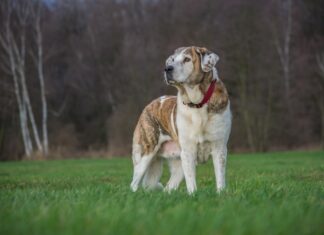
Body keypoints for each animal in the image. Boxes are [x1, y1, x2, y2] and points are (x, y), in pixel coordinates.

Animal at [130, 46, 232, 195]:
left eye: (187, 59)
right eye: (172, 60)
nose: (167, 69)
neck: (197, 104)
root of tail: (150, 104)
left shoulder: (219, 149)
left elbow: (220, 179)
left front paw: (221, 195)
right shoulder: (188, 152)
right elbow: (191, 182)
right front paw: (193, 195)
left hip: (178, 163)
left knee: (168, 187)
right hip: (145, 153)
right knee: (134, 183)